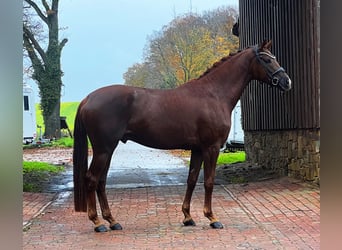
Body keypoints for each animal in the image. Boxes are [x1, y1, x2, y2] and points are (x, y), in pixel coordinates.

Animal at [73, 39, 292, 232]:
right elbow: (209, 181)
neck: (213, 94)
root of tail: (87, 98)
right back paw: (98, 223)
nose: (287, 81)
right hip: (103, 149)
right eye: (267, 59)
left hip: (108, 150)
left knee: (101, 182)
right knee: (92, 179)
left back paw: (112, 221)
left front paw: (188, 217)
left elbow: (192, 180)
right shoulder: (212, 148)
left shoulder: (197, 149)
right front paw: (212, 218)